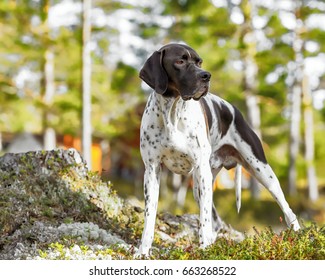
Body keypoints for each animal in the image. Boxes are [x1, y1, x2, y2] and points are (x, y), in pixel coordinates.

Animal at [135, 43, 300, 256]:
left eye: (199, 62)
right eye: (179, 61)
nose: (206, 76)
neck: (173, 111)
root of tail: (234, 110)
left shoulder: (200, 169)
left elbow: (204, 219)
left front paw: (204, 249)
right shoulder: (152, 170)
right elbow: (150, 216)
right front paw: (143, 250)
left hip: (261, 172)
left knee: (287, 209)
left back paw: (298, 237)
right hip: (199, 185)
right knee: (216, 220)